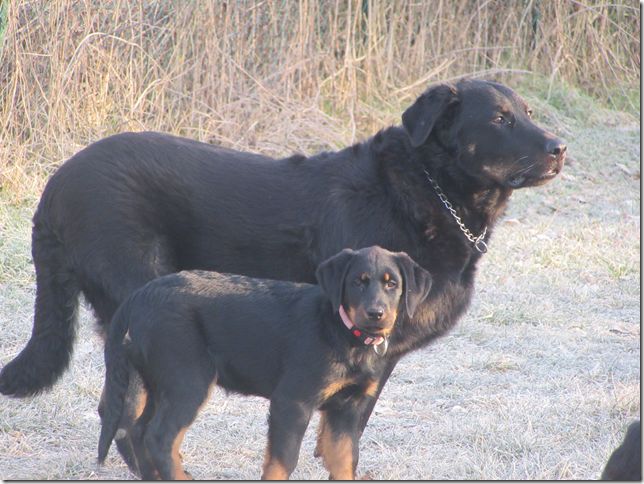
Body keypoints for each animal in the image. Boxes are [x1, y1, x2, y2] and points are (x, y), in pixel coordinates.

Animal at [98, 246, 430, 480]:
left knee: (139, 430)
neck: (344, 333)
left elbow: (344, 459)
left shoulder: (346, 409)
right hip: (188, 380)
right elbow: (282, 461)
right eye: (357, 283)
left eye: (392, 284)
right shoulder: (292, 401)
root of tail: (141, 295)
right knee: (159, 437)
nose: (376, 314)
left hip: (160, 380)